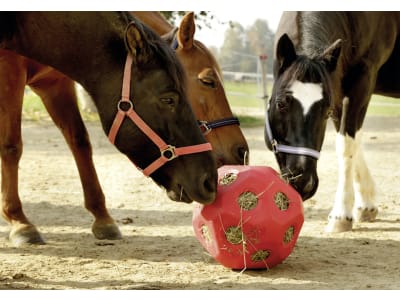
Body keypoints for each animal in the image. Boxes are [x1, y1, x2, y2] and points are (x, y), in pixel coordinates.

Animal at [0, 11, 219, 246]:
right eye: (168, 99)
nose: (209, 182)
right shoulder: (9, 72)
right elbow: (12, 146)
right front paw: (20, 222)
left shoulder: (54, 83)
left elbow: (80, 141)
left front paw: (102, 219)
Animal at [266, 11, 400, 232]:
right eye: (281, 104)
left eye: (325, 111)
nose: (304, 183)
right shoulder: (337, 86)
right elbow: (352, 141)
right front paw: (366, 205)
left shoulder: (363, 78)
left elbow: (347, 145)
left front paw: (341, 216)